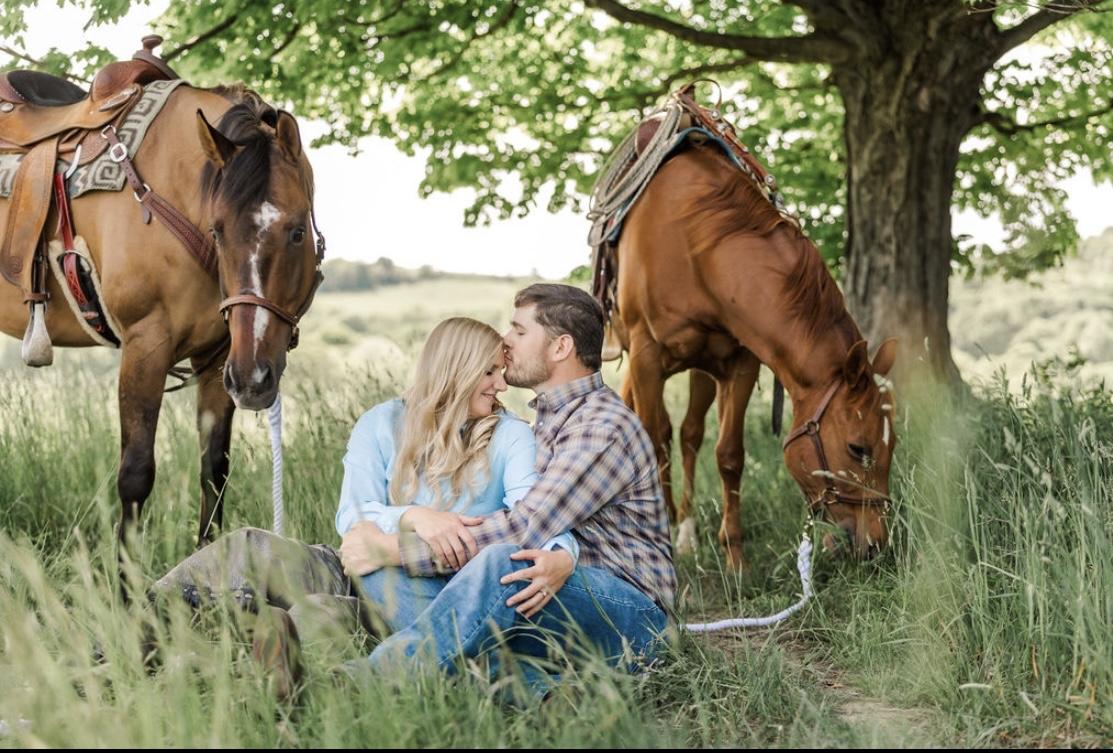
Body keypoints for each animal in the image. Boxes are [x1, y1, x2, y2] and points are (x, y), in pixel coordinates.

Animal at [0, 80, 322, 551]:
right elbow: (135, 475)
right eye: (218, 231)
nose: (254, 379)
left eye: (298, 232)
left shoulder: (219, 359)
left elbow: (215, 470)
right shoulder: (145, 346)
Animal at [614, 141, 899, 567]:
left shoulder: (740, 364)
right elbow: (652, 444)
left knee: (689, 435)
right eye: (857, 448)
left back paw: (686, 531)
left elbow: (730, 455)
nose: (877, 545)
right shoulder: (645, 358)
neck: (695, 248)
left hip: (701, 371)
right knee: (661, 433)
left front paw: (735, 557)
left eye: (892, 445)